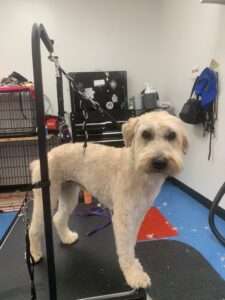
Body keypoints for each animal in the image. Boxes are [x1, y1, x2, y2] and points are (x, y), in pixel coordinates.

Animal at [29, 111, 189, 290]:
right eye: (146, 134)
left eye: (172, 135)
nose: (159, 161)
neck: (138, 170)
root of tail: (43, 157)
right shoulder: (123, 218)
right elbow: (125, 248)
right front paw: (133, 275)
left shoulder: (138, 215)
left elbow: (131, 243)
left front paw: (135, 265)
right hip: (46, 197)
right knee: (33, 228)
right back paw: (35, 254)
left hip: (69, 193)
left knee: (58, 218)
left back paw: (67, 238)